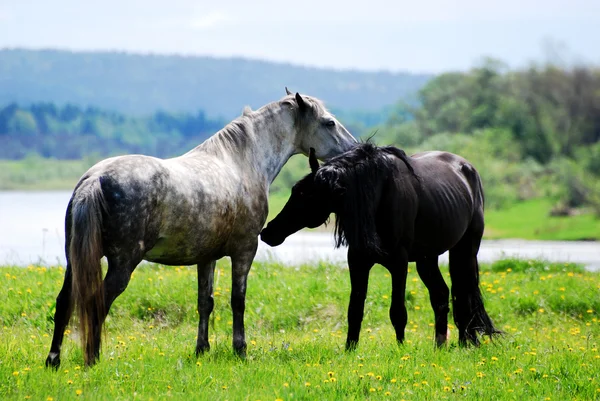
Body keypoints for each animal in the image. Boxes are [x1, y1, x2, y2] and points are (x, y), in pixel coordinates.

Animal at [45, 89, 356, 368]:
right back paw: (92, 359)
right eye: (329, 122)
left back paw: (54, 360)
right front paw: (240, 350)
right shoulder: (245, 250)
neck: (241, 163)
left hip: (75, 261)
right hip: (122, 263)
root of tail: (94, 180)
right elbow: (237, 300)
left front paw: (201, 349)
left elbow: (205, 302)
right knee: (96, 303)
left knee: (64, 303)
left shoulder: (207, 257)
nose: (353, 149)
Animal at [260, 143, 500, 346]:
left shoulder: (399, 263)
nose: (268, 232)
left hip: (465, 250)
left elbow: (398, 312)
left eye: (306, 195)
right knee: (440, 295)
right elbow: (354, 310)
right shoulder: (358, 260)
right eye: (295, 190)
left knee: (464, 295)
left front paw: (401, 350)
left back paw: (466, 344)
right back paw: (439, 347)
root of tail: (468, 169)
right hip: (427, 259)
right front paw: (350, 350)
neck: (378, 197)